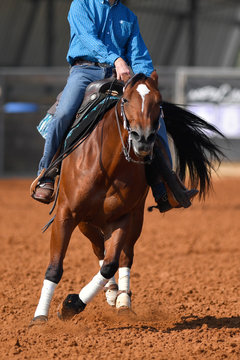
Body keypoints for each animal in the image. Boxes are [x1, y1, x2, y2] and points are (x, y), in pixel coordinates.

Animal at [30, 70, 223, 324]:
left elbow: (111, 264)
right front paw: (40, 317)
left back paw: (122, 301)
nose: (143, 139)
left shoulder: (123, 217)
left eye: (158, 102)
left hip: (135, 219)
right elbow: (55, 267)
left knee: (122, 257)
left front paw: (73, 304)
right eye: (126, 100)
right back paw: (112, 293)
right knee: (98, 249)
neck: (107, 166)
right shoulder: (66, 214)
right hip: (85, 223)